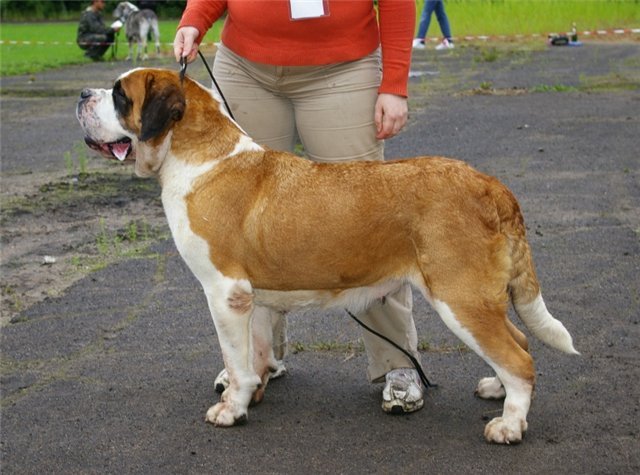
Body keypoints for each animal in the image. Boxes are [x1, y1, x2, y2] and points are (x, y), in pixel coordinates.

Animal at [76, 68, 578, 444]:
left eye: (119, 94)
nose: (82, 93)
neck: (200, 156)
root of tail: (490, 185)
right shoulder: (253, 296)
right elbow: (255, 353)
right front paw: (253, 392)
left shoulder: (225, 292)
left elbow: (235, 359)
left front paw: (231, 410)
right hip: (477, 299)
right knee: (520, 340)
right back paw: (497, 390)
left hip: (460, 297)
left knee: (519, 358)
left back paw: (509, 424)